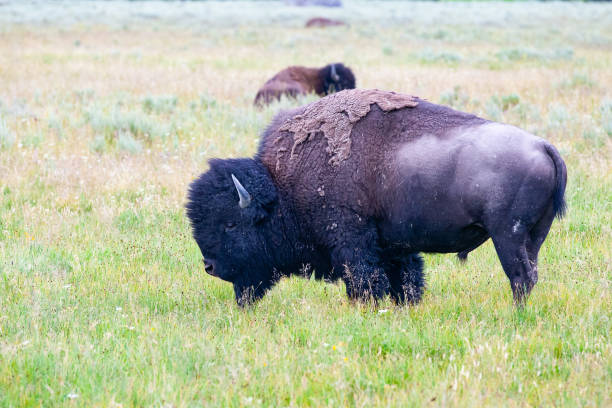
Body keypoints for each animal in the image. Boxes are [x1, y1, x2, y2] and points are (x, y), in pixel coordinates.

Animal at [188, 88, 568, 306]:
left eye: (231, 224)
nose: (209, 266)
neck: (283, 187)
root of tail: (542, 146)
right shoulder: (394, 245)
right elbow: (406, 279)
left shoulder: (352, 239)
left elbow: (365, 279)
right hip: (533, 236)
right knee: (530, 274)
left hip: (508, 235)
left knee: (520, 277)